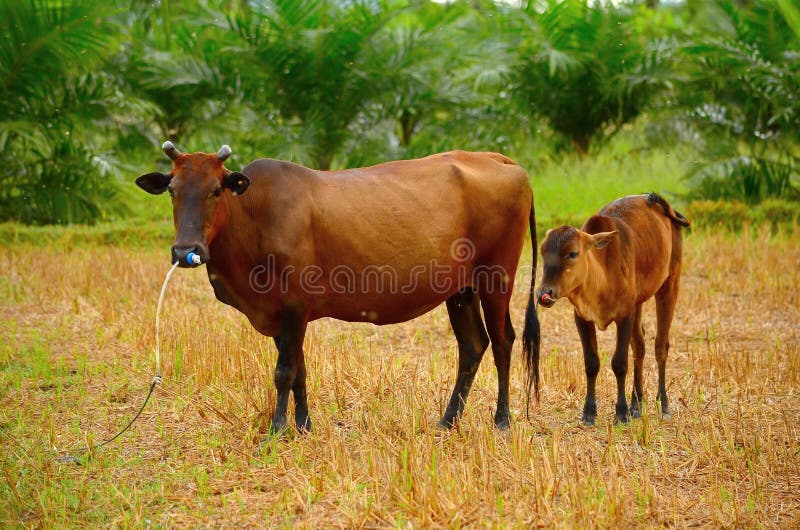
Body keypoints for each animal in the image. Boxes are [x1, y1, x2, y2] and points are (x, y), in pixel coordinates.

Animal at [136, 142, 541, 434]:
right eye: (172, 190)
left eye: (216, 190)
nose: (185, 250)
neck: (254, 215)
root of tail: (498, 159)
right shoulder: (280, 313)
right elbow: (298, 370)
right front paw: (303, 425)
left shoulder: (295, 304)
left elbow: (284, 371)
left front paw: (277, 429)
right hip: (460, 290)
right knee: (473, 345)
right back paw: (447, 420)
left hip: (496, 276)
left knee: (503, 340)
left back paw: (501, 419)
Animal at [535, 193, 689, 425]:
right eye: (543, 252)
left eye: (573, 253)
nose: (545, 293)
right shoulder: (582, 317)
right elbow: (591, 362)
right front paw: (589, 412)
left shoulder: (624, 315)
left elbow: (619, 363)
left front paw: (621, 412)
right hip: (639, 302)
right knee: (639, 346)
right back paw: (637, 405)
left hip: (670, 284)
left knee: (661, 345)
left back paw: (663, 405)